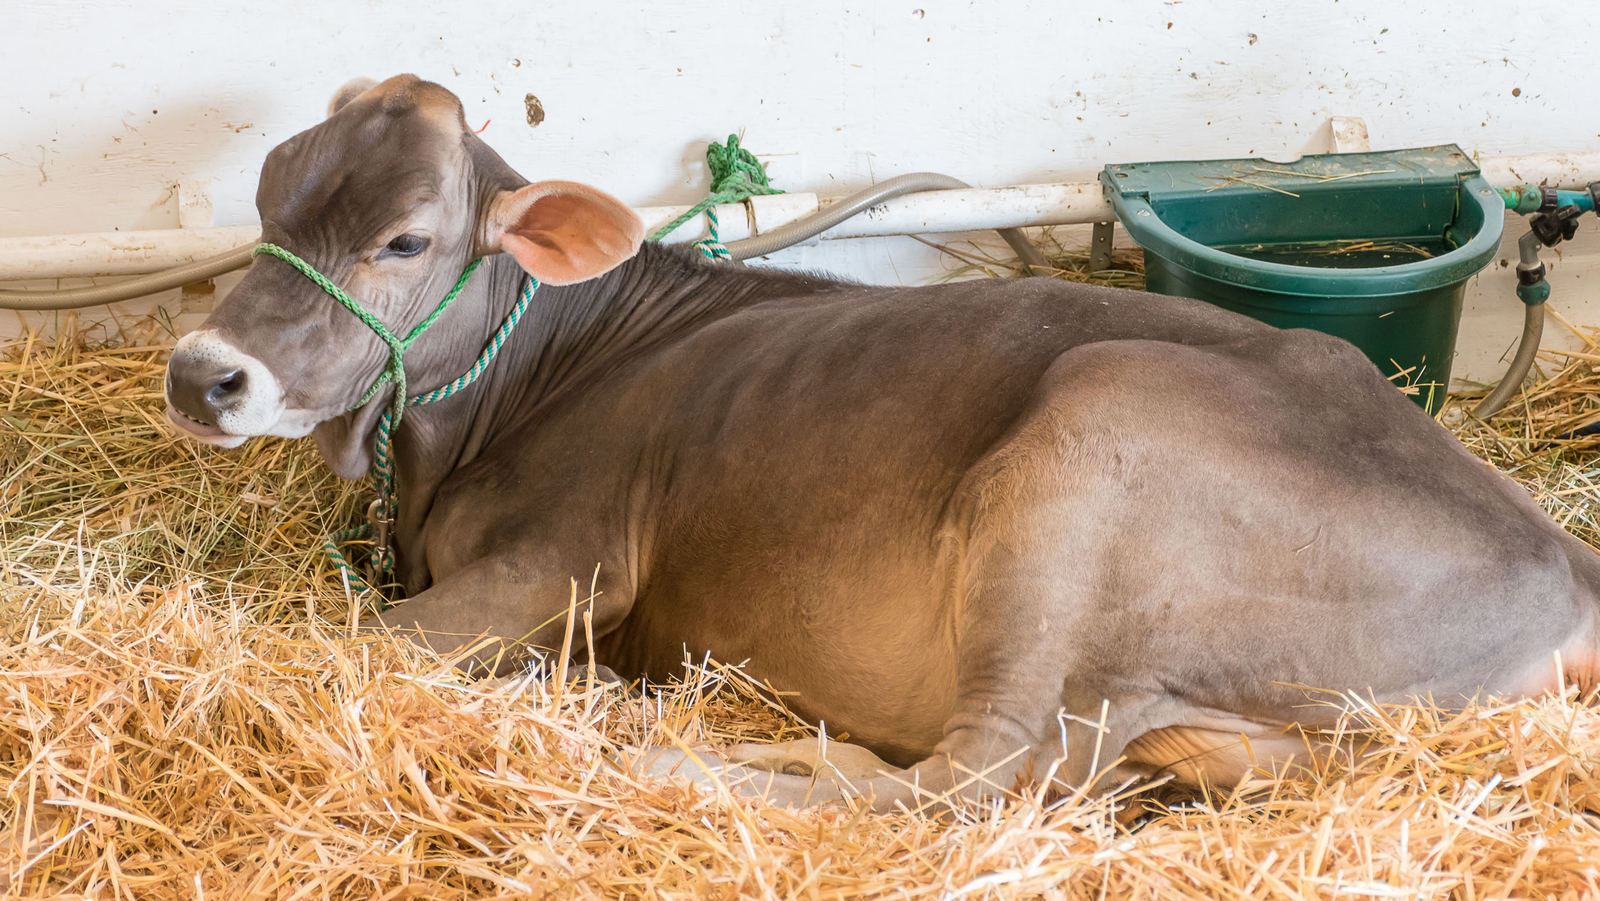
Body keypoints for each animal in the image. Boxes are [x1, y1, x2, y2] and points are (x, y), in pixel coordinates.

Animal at [163, 74, 1600, 812]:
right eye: (270, 195)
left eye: (405, 239)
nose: (201, 371)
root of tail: (1564, 558)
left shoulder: (561, 561)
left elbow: (345, 649)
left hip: (1089, 449)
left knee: (974, 778)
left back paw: (691, 757)